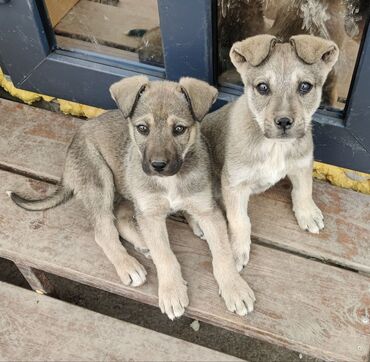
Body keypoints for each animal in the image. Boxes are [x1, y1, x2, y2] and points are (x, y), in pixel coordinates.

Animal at [199, 34, 338, 272]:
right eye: (262, 87)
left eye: (305, 86)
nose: (283, 122)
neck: (275, 146)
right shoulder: (234, 184)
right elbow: (239, 220)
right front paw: (236, 250)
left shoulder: (302, 163)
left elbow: (304, 189)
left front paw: (307, 213)